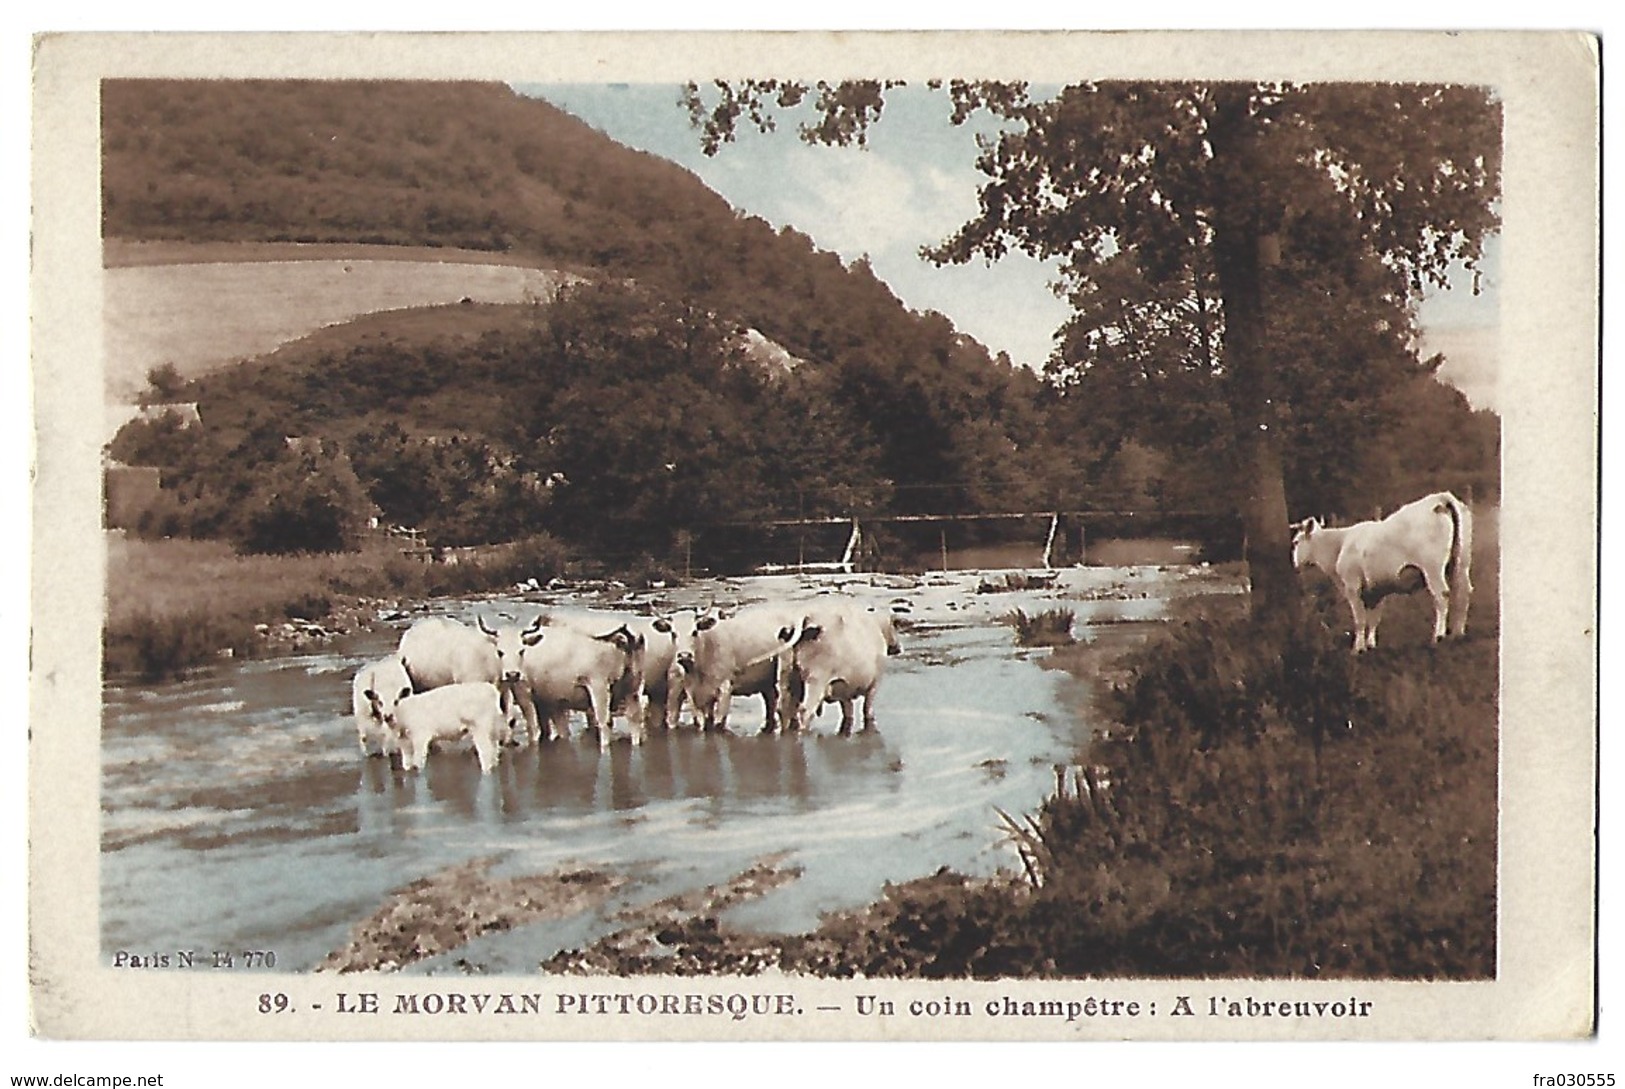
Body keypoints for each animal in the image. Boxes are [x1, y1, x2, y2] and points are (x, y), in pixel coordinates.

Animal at [1293, 494, 1475, 656]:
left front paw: (1358, 648)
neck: (1340, 544)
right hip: (1461, 563)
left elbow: (1360, 619)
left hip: (1432, 568)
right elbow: (1374, 618)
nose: (1295, 564)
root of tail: (1440, 498)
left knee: (1441, 595)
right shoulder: (1376, 589)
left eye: (1295, 542)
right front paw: (1370, 645)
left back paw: (1438, 635)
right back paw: (1458, 633)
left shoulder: (1353, 586)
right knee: (1463, 592)